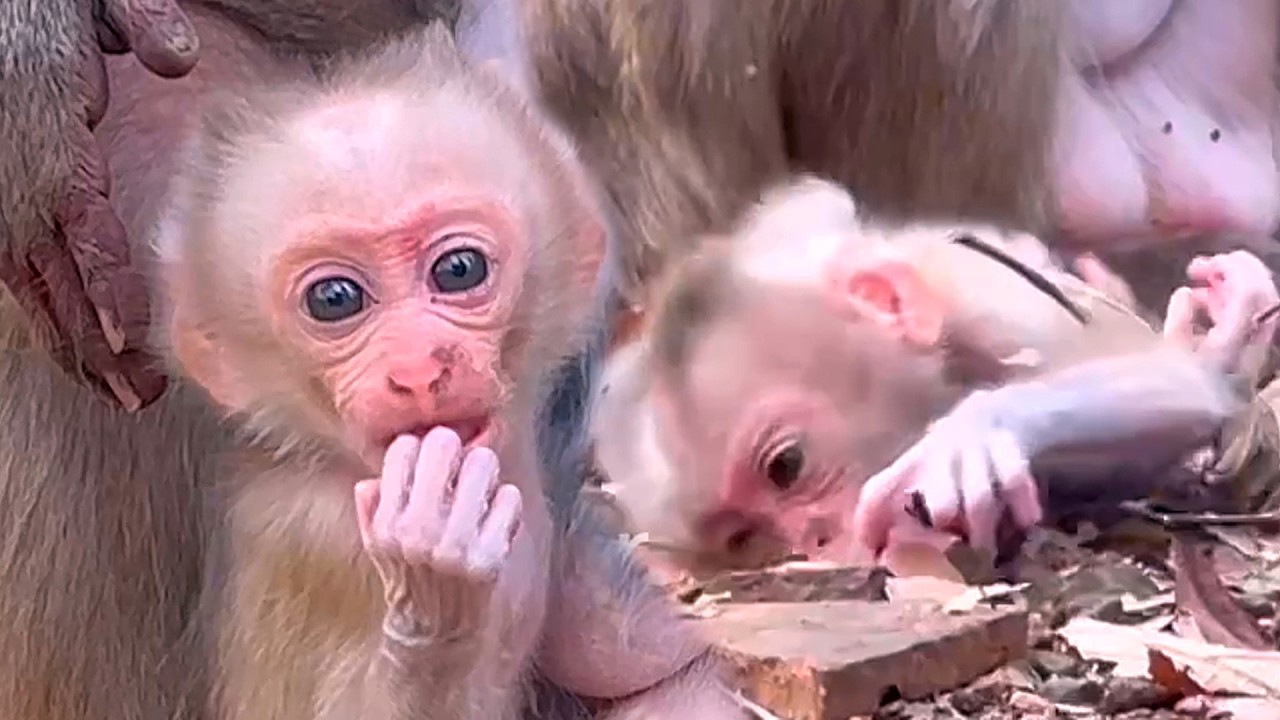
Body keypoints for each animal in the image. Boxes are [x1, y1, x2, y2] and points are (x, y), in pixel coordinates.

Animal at [589, 177, 1279, 574]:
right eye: (745, 536)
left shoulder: (1001, 313)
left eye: (787, 467)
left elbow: (1187, 386)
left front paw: (968, 435)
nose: (813, 543)